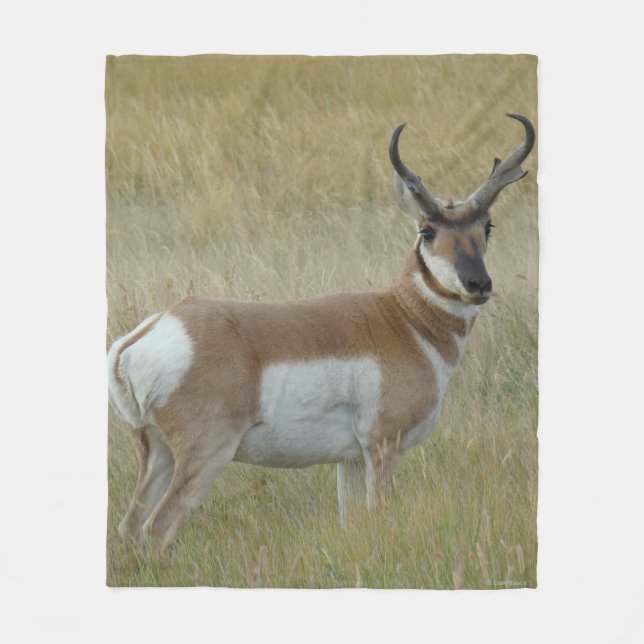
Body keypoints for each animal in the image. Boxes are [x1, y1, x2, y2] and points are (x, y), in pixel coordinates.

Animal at [108, 114, 535, 548]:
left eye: (487, 226)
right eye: (427, 230)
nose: (478, 284)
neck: (404, 321)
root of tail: (148, 334)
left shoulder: (350, 459)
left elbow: (354, 521)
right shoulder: (384, 447)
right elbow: (380, 514)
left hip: (158, 452)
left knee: (130, 526)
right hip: (204, 456)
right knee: (157, 527)